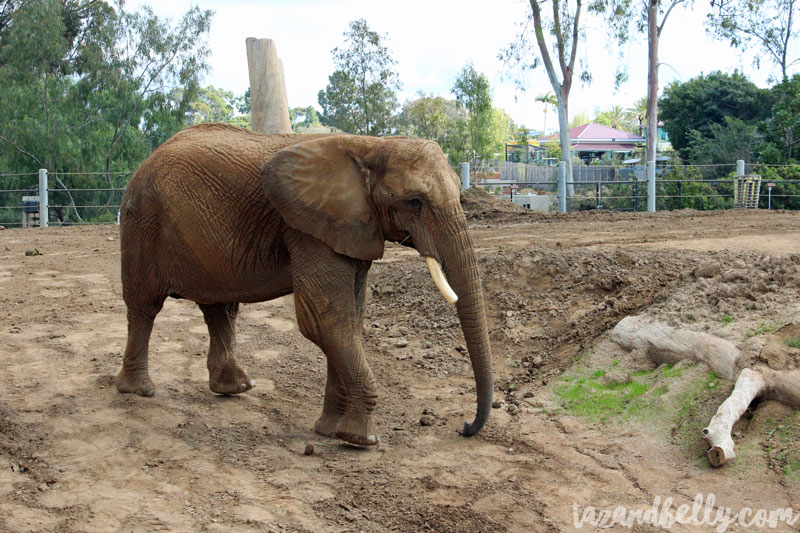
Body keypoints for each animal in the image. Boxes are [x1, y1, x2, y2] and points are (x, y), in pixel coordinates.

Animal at [117, 123, 494, 444]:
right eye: (415, 202)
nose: (464, 427)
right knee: (144, 307)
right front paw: (359, 440)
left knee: (220, 309)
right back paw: (139, 391)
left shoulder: (349, 228)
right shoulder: (307, 227)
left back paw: (234, 388)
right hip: (142, 221)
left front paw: (328, 431)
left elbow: (350, 322)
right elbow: (325, 320)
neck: (371, 145)